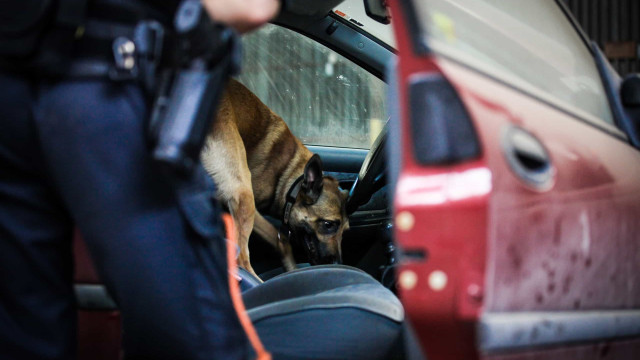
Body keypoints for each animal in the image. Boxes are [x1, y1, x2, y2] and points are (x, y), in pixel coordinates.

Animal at [201, 79, 348, 278]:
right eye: (329, 224)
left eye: (345, 230)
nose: (338, 264)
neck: (291, 177)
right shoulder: (252, 209)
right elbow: (281, 239)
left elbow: (279, 239)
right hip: (243, 194)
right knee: (241, 258)